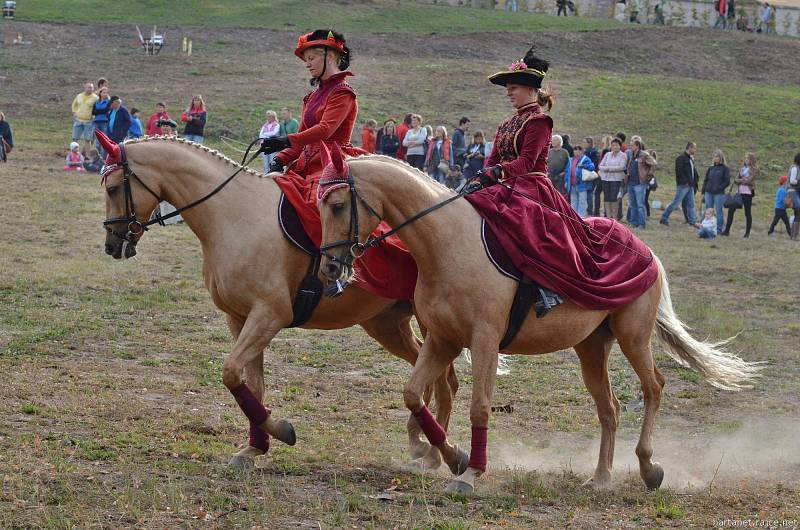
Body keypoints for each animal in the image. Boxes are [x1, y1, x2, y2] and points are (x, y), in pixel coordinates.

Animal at [99, 137, 460, 470]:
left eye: (114, 188)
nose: (112, 245)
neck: (234, 215)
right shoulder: (240, 319)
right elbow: (251, 385)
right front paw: (254, 447)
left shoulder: (268, 316)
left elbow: (231, 373)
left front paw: (280, 431)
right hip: (386, 325)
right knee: (430, 373)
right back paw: (420, 441)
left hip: (434, 325)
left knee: (444, 382)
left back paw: (437, 454)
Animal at [318, 155, 764, 492]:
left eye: (337, 206)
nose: (329, 268)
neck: (447, 243)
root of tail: (647, 252)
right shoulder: (442, 340)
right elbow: (413, 393)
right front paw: (455, 457)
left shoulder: (484, 340)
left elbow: (479, 406)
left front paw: (472, 472)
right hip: (592, 348)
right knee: (610, 408)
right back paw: (600, 477)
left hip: (633, 337)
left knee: (654, 386)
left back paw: (648, 468)